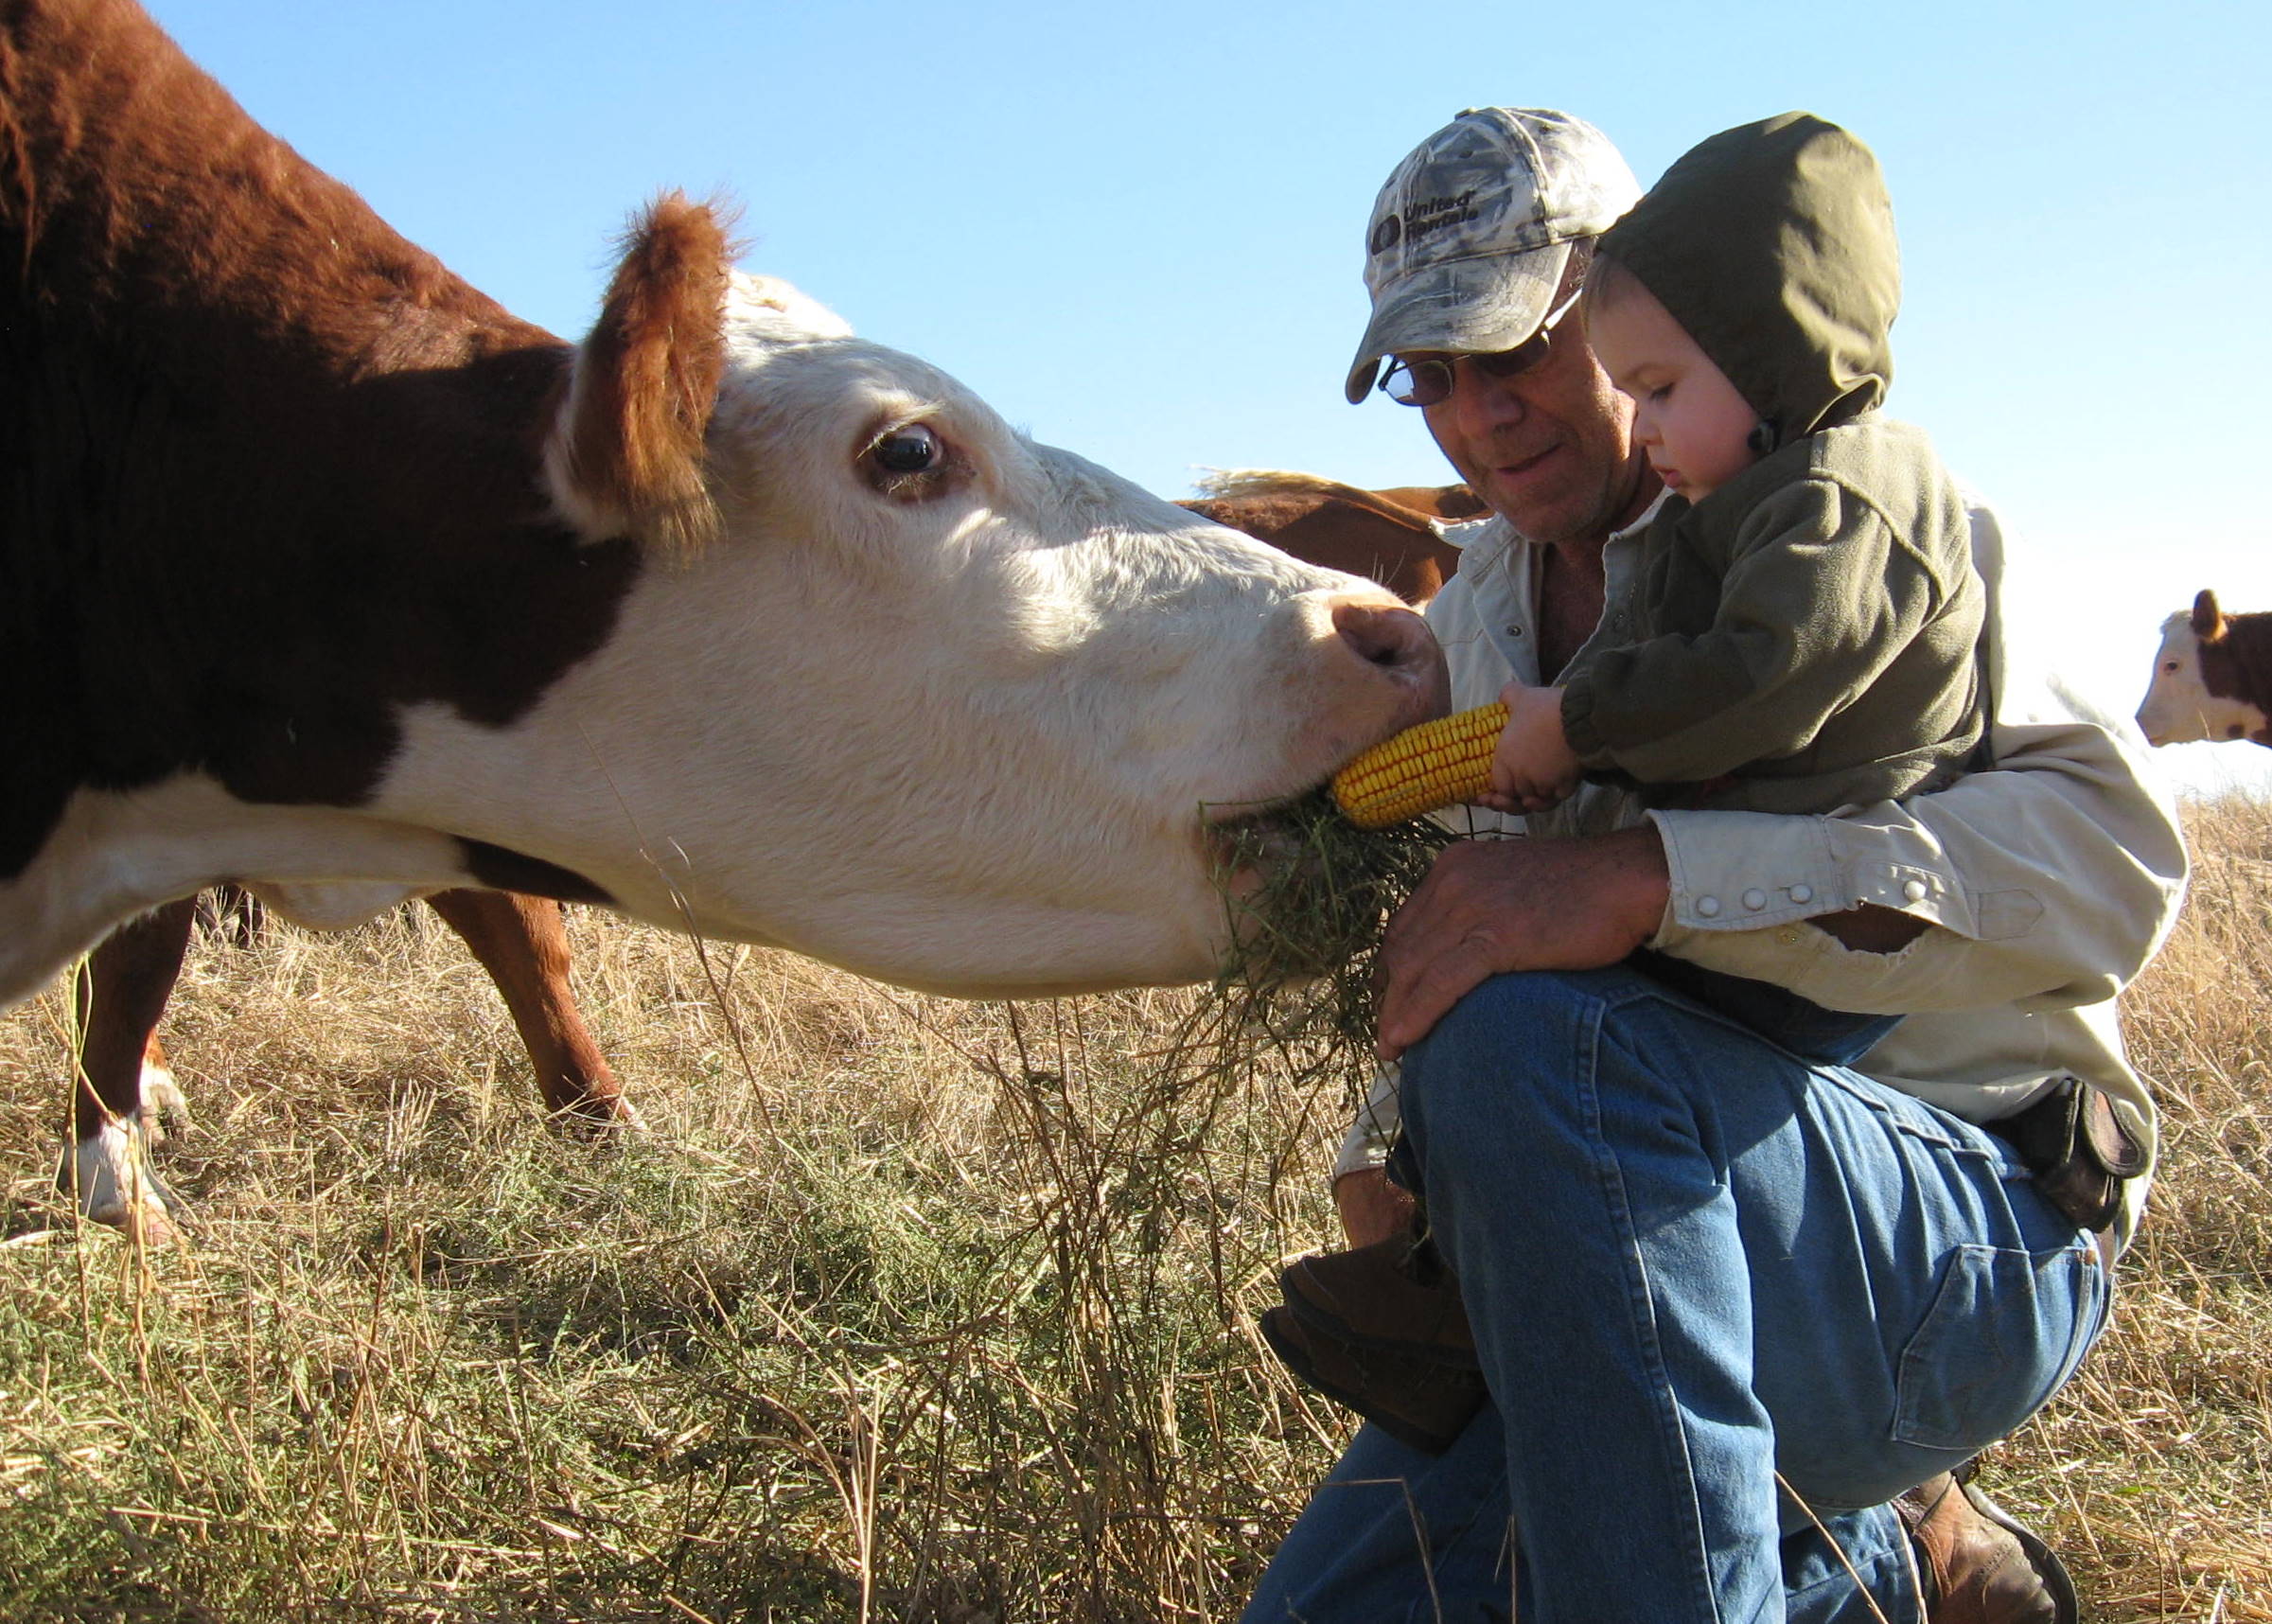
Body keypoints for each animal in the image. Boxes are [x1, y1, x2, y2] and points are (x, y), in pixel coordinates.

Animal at [4, 0, 1435, 1235]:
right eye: (908, 451)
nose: (1388, 634)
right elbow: (151, 955)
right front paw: (112, 1181)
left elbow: (509, 927)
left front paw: (601, 1121)